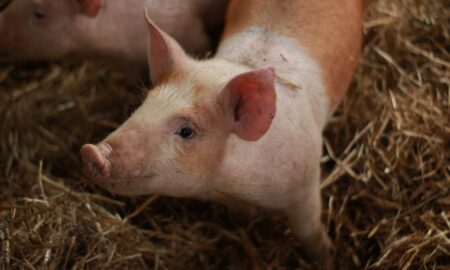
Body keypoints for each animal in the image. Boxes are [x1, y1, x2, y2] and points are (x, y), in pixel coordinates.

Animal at [81, 0, 370, 268]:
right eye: (144, 104)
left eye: (186, 131)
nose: (91, 152)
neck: (240, 184)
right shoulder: (231, 198)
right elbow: (240, 217)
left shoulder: (307, 182)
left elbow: (309, 232)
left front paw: (326, 259)